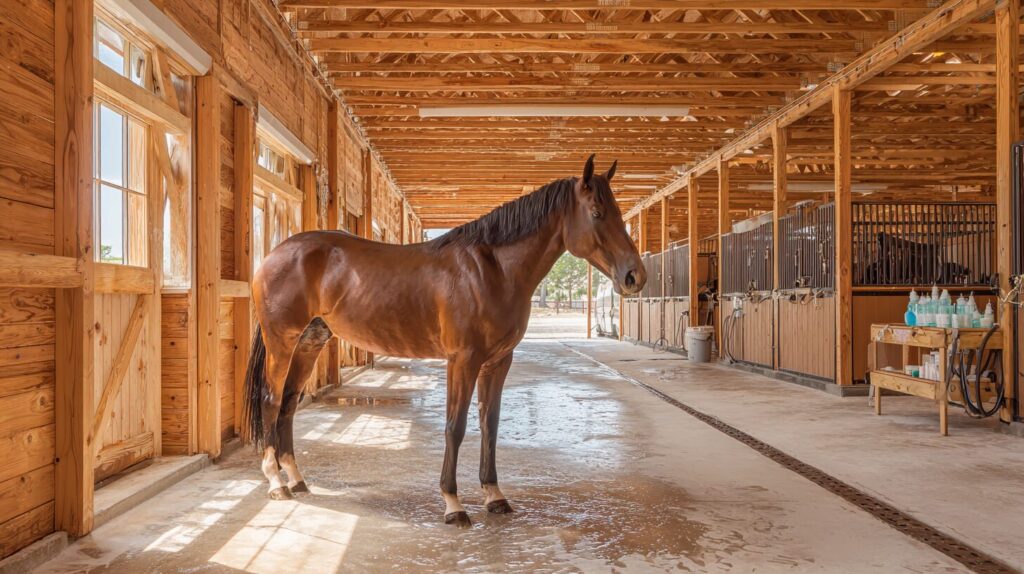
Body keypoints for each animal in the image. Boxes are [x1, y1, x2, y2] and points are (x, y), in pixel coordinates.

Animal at [241, 155, 646, 527]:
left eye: (618, 212)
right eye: (597, 212)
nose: (635, 276)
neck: (491, 271)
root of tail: (275, 254)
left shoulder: (498, 361)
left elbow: (490, 423)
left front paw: (494, 496)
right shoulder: (462, 360)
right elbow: (456, 425)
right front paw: (454, 504)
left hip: (309, 343)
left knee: (289, 403)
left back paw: (297, 479)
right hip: (282, 342)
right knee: (271, 399)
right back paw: (276, 483)